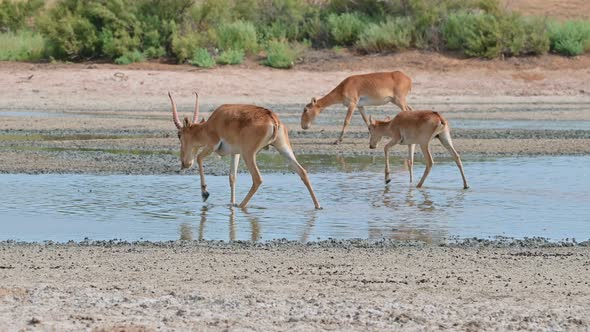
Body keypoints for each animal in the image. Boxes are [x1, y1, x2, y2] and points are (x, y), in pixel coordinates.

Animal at [166, 92, 324, 209]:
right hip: (283, 150)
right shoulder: (235, 153)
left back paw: (241, 205)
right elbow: (232, 177)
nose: (184, 163)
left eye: (179, 135)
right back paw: (318, 206)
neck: (210, 124)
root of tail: (272, 118)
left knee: (257, 178)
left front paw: (205, 193)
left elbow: (199, 158)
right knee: (302, 172)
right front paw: (231, 203)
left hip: (249, 154)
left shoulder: (212, 146)